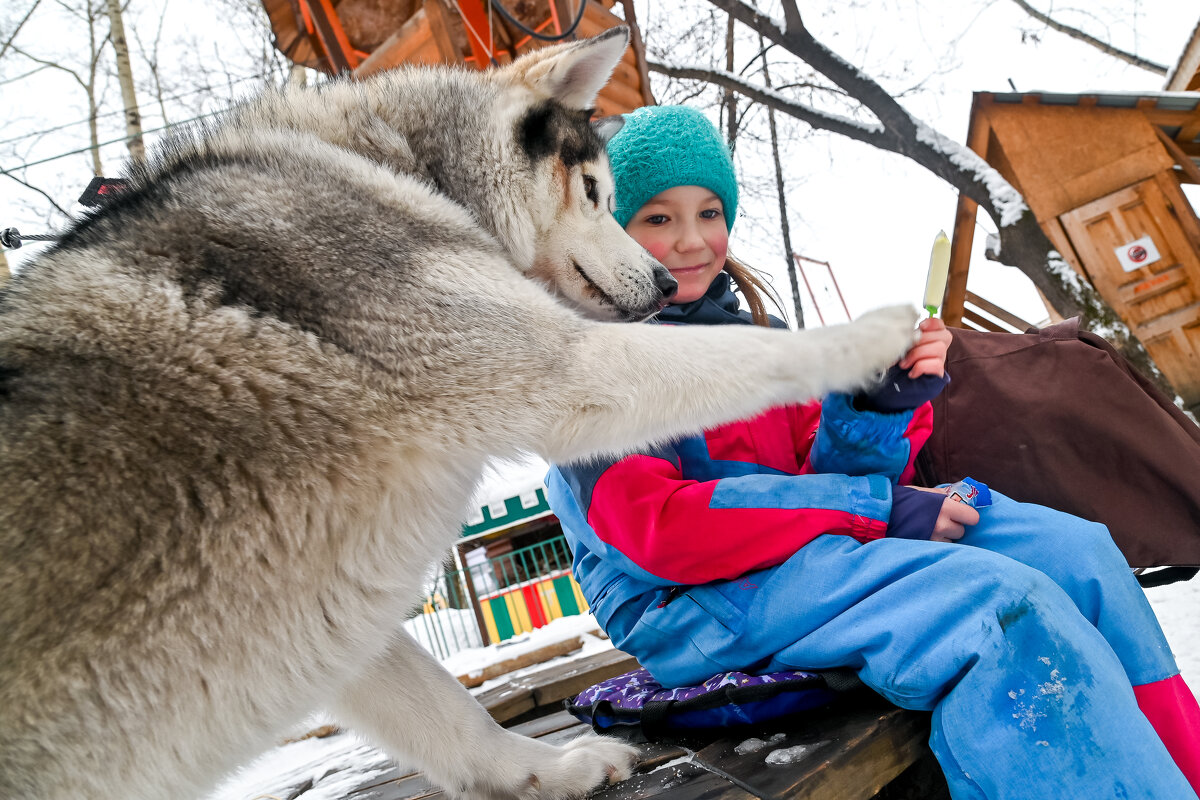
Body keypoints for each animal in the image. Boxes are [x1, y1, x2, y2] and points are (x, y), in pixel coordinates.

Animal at [0, 25, 912, 800]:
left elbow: (444, 711)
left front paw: (546, 771)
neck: (401, 168)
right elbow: (753, 355)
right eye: (594, 191)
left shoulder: (326, 614)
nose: (663, 282)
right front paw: (875, 337)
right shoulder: (565, 368)